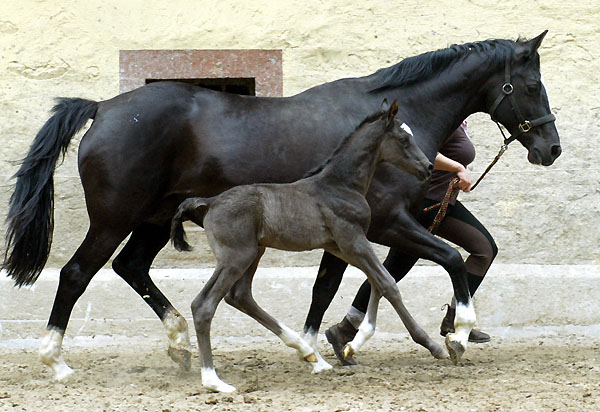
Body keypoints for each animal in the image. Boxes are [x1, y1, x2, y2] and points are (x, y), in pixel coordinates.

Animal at [2, 32, 560, 380]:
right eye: (531, 85)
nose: (550, 149)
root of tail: (102, 108)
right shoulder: (387, 223)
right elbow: (447, 259)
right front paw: (458, 332)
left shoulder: (351, 233)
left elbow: (328, 286)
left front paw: (324, 346)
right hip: (114, 218)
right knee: (77, 273)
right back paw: (56, 360)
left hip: (157, 219)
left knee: (131, 267)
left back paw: (179, 345)